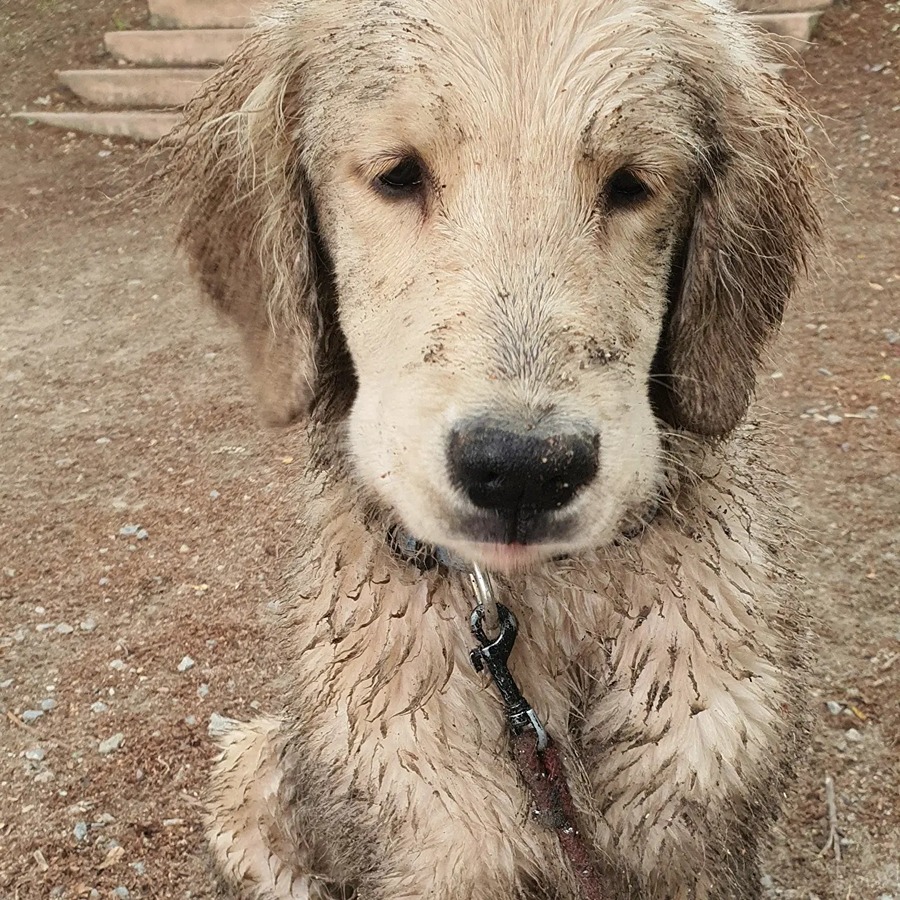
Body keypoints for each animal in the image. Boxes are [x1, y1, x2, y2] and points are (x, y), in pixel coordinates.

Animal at [165, 1, 820, 900]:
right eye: (399, 175)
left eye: (630, 185)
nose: (522, 469)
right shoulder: (431, 846)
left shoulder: (702, 834)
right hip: (251, 775)